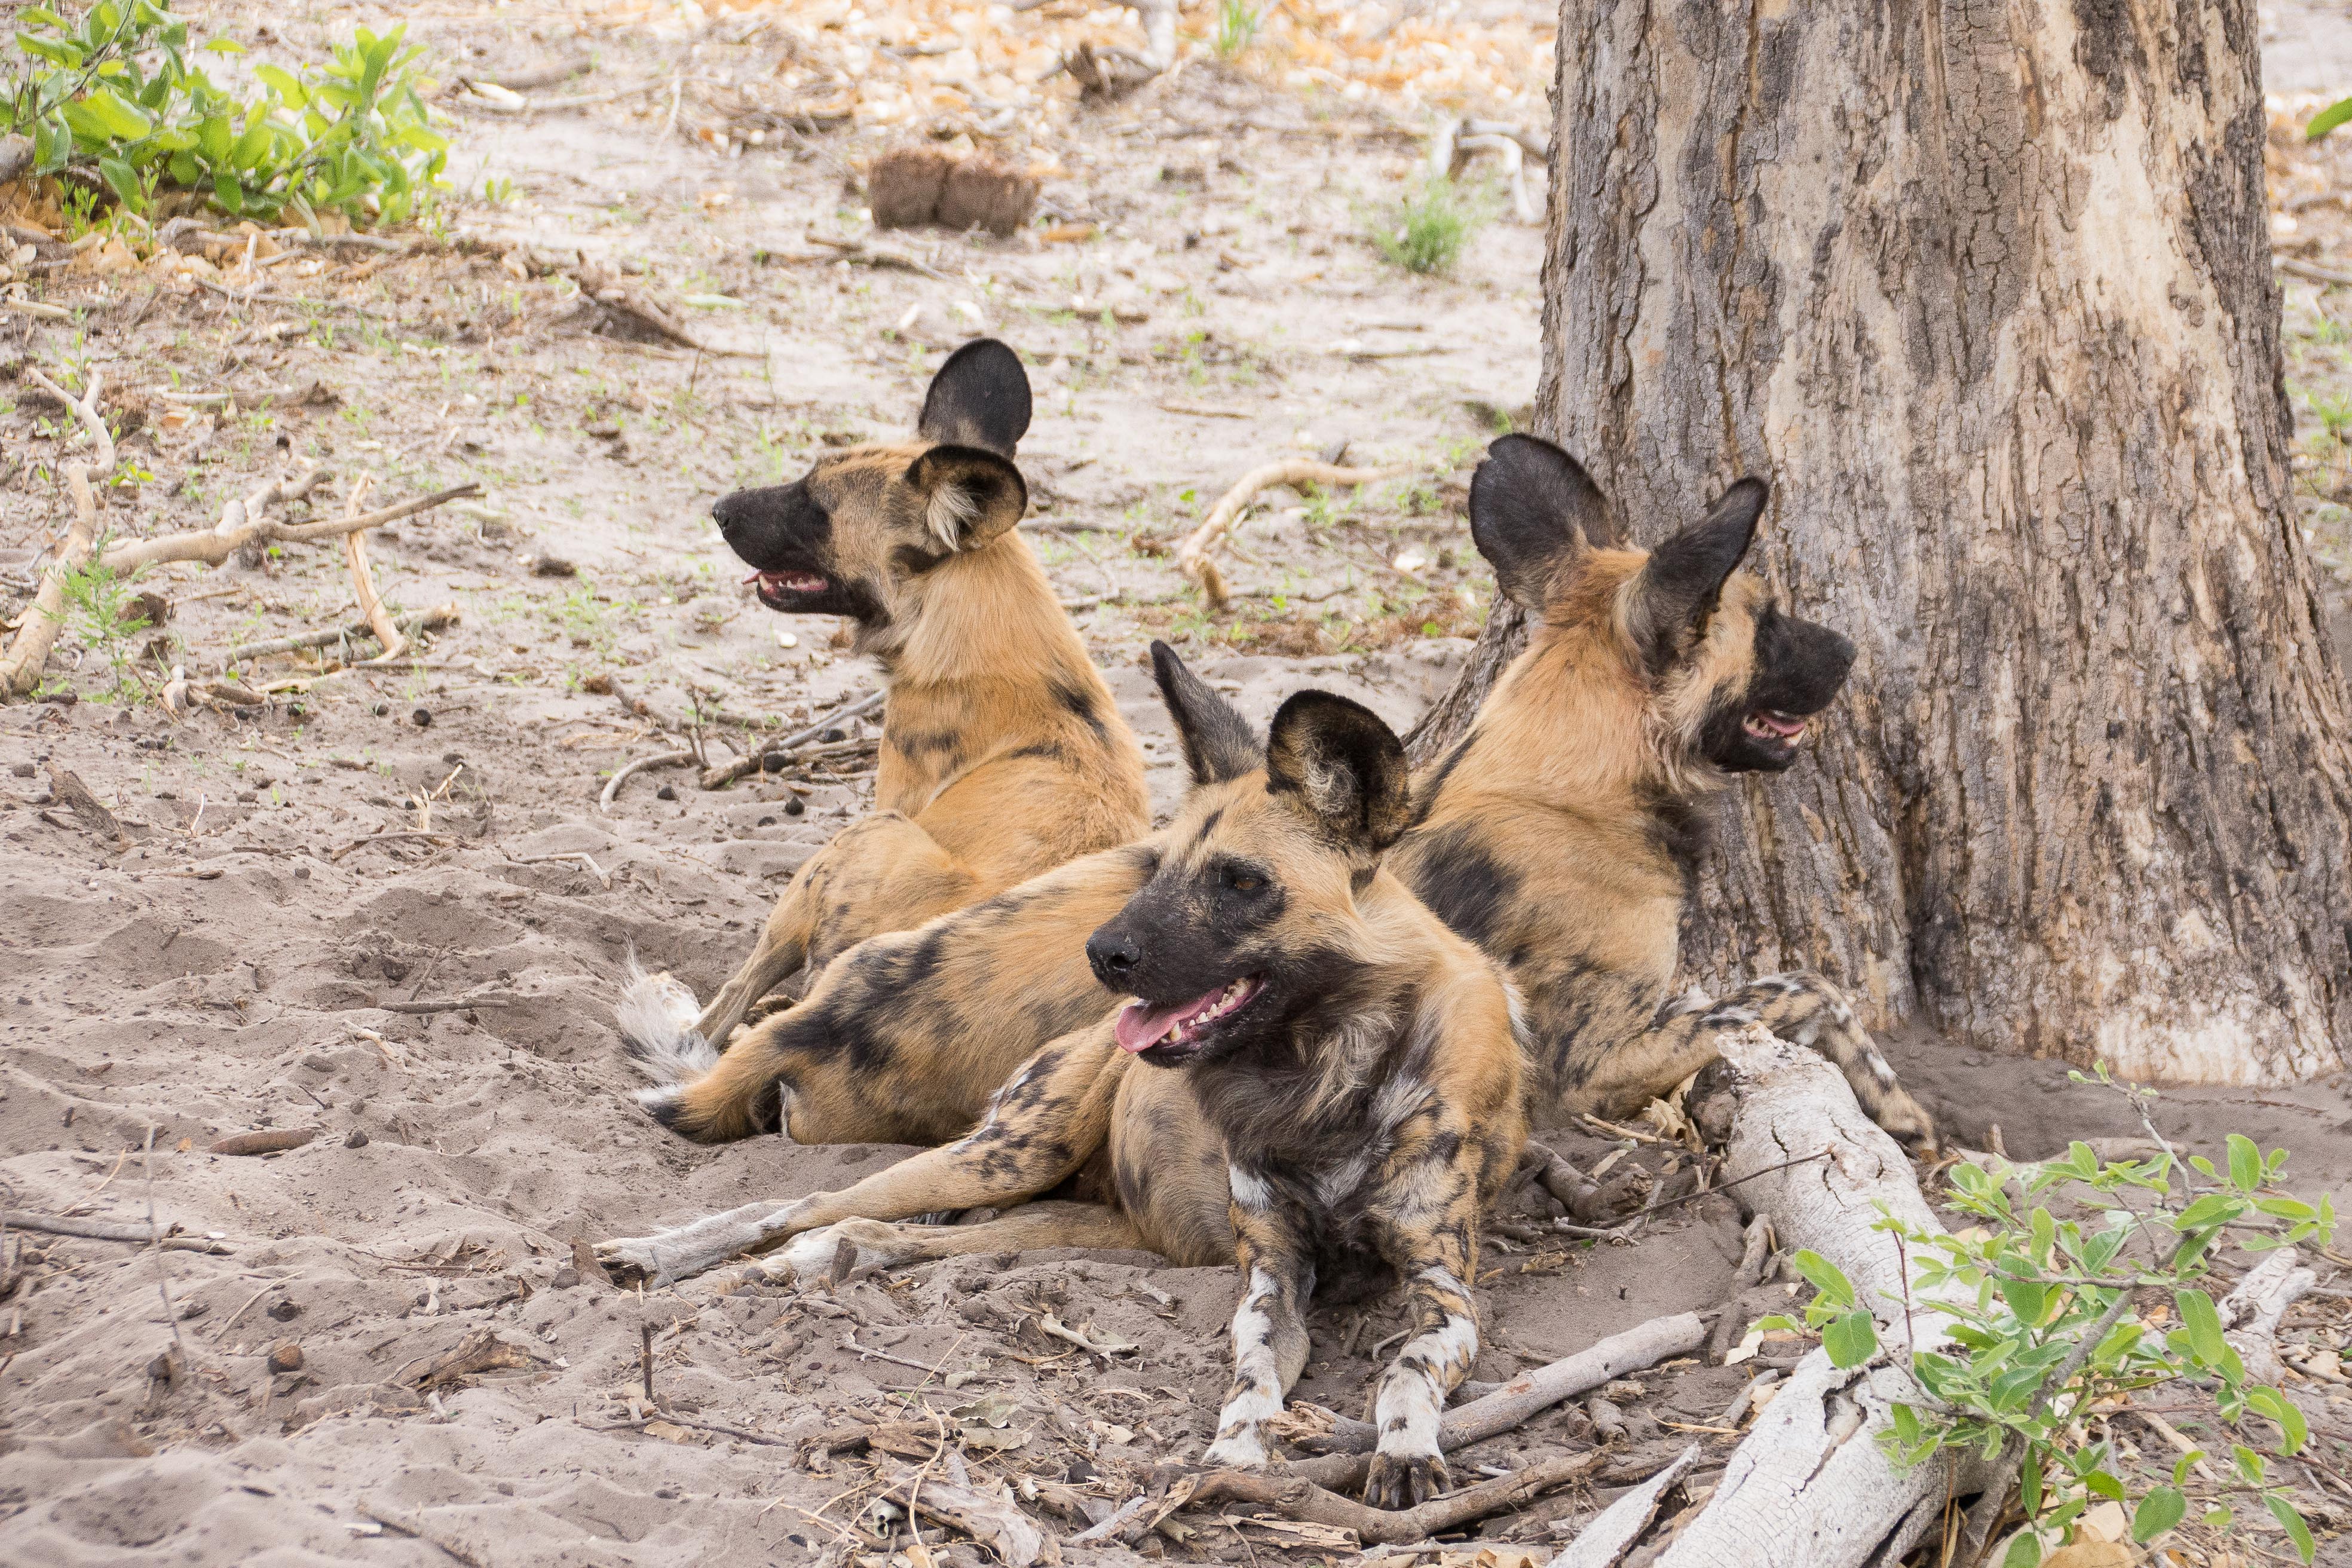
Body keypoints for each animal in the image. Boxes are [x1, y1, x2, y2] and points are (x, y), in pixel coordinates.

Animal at [607, 648, 1524, 1504]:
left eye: (1241, 881)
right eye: (1161, 868)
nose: (1101, 952)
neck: (1323, 1075)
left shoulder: (1446, 1291)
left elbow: (1406, 1366)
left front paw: (1405, 1446)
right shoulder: (1272, 1278)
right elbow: (1254, 1379)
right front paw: (1235, 1454)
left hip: (1068, 1216)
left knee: (867, 1231)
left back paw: (799, 1263)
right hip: (1010, 1154)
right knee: (802, 1203)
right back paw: (663, 1258)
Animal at [1411, 0, 2352, 1086]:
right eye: (1769, 619)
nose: (1855, 650)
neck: (1570, 781)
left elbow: (1793, 987)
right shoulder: (1612, 1050)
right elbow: (1780, 1001)